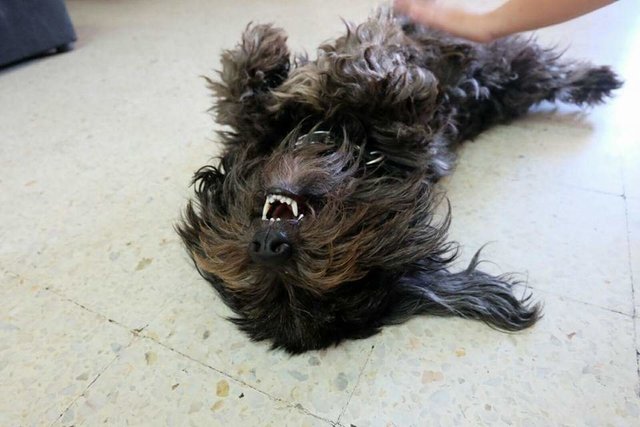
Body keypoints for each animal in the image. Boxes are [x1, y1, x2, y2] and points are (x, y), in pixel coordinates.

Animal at [178, 8, 624, 354]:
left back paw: (599, 78)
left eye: (322, 265)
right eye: (252, 274)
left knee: (548, 72)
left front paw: (290, 58)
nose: (269, 245)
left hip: (512, 65)